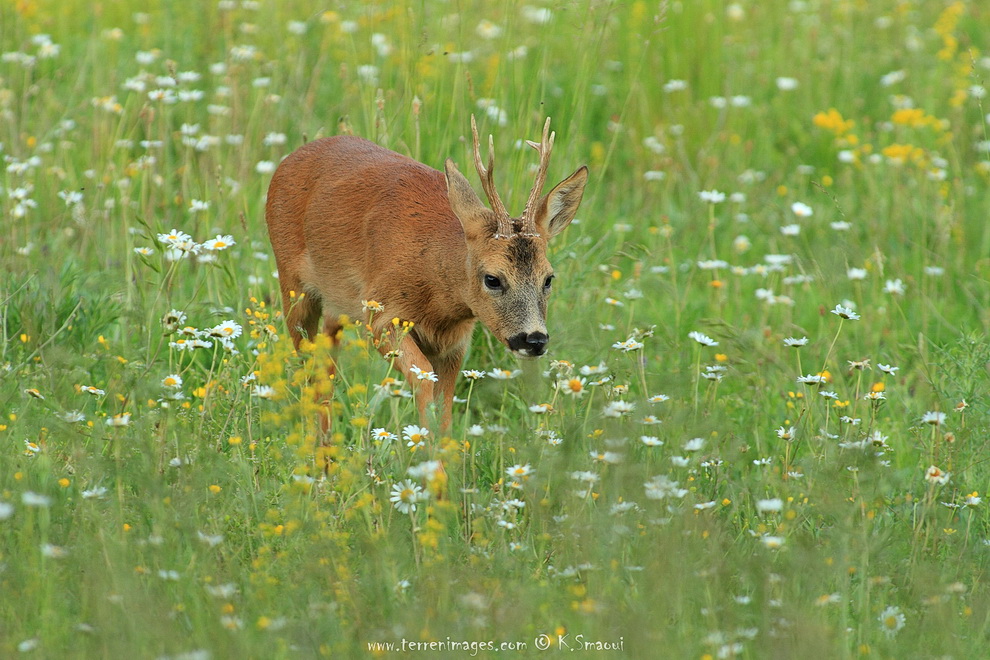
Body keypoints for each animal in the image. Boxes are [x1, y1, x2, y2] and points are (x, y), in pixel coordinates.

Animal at [266, 116, 588, 430]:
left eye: (548, 278)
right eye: (492, 279)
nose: (534, 340)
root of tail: (289, 159)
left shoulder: (455, 343)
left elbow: (444, 407)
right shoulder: (381, 314)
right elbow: (424, 384)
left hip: (337, 304)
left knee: (325, 366)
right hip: (293, 284)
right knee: (307, 365)